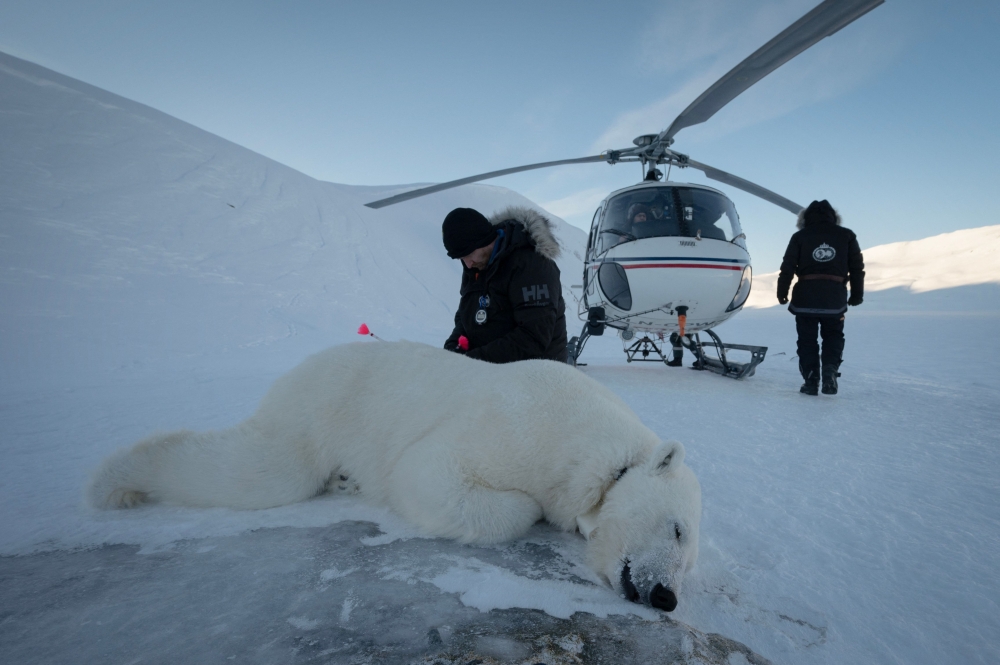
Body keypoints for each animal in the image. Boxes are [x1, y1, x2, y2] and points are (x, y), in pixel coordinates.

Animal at [87, 341, 701, 611]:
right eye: (677, 529)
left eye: (690, 562)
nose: (667, 597)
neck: (597, 446)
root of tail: (307, 364)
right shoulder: (521, 428)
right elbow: (431, 474)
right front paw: (532, 511)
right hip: (322, 409)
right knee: (264, 470)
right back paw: (116, 480)